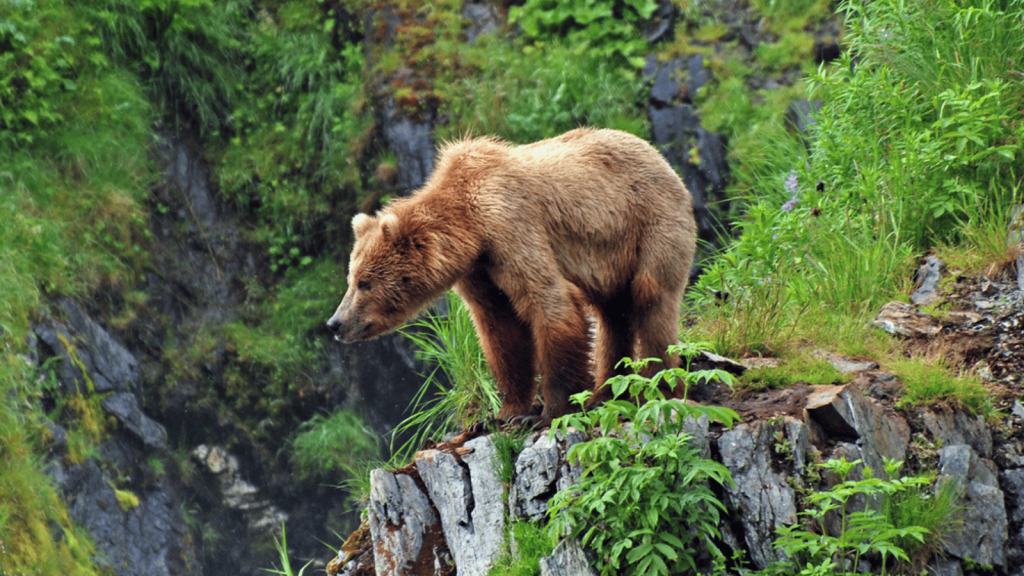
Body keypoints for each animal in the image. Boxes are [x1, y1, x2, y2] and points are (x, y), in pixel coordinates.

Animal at [327, 127, 696, 424]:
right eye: (351, 280)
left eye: (364, 283)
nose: (335, 323)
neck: (470, 229)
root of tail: (660, 157)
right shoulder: (480, 270)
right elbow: (500, 329)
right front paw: (505, 413)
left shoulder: (511, 226)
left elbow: (549, 303)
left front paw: (545, 413)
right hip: (610, 260)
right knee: (612, 315)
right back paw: (604, 392)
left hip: (650, 224)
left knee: (651, 299)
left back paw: (660, 386)